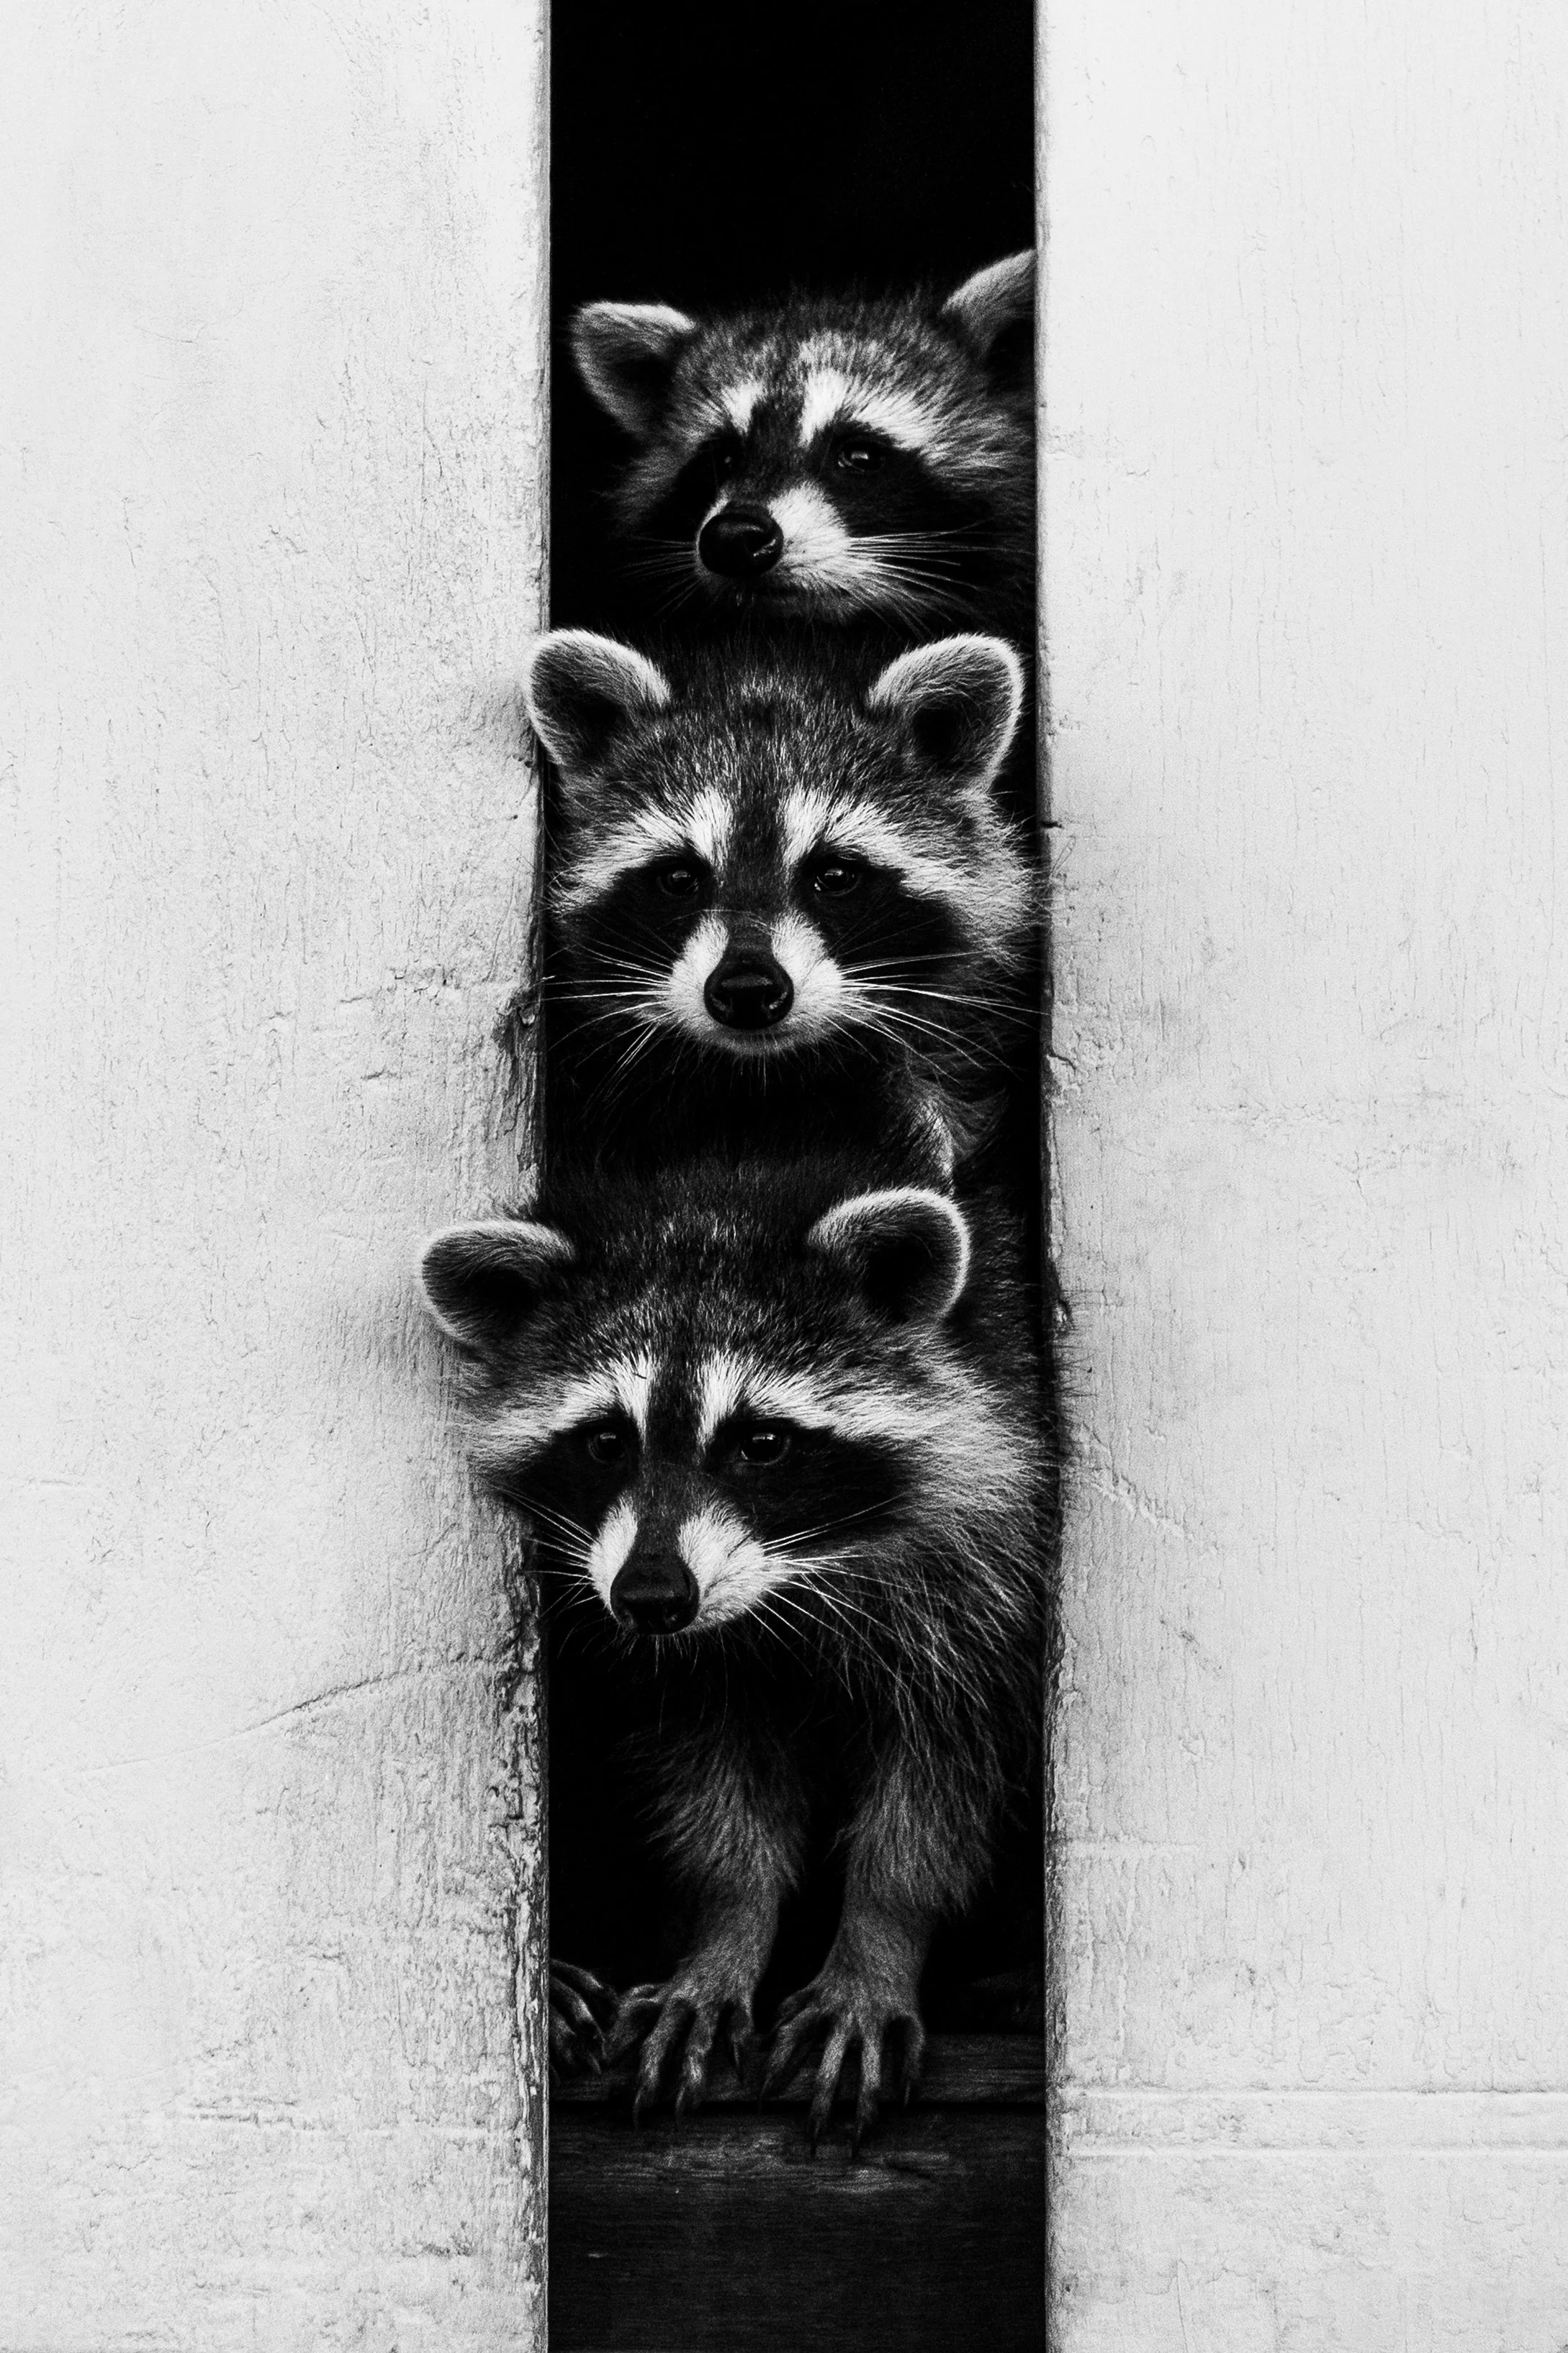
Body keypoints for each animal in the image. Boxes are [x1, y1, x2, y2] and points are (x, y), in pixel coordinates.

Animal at [419, 1151, 1053, 2144]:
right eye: (606, 1440)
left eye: (762, 1443)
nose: (650, 1597)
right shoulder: (679, 1666)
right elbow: (713, 1792)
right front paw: (723, 1939)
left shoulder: (987, 1579)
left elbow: (939, 1783)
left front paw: (876, 1945)